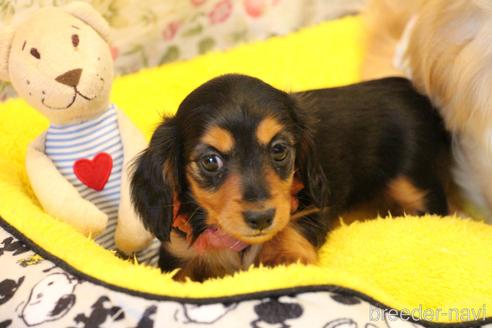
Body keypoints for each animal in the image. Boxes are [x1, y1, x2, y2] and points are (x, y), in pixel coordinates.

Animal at [132, 75, 450, 282]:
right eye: (211, 161)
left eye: (279, 149)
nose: (261, 218)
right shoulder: (178, 254)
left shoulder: (310, 207)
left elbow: (290, 226)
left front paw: (282, 257)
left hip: (416, 189)